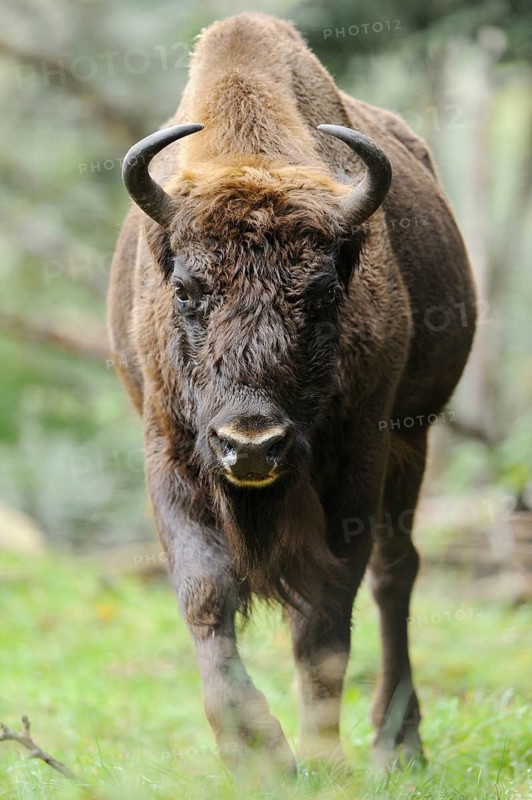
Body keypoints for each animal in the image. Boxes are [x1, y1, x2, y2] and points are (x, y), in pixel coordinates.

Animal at [108, 12, 476, 774]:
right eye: (185, 290)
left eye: (324, 293)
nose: (253, 444)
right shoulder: (170, 452)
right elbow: (205, 595)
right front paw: (257, 751)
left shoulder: (357, 458)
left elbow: (324, 618)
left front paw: (324, 757)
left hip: (413, 439)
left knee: (396, 573)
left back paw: (399, 743)